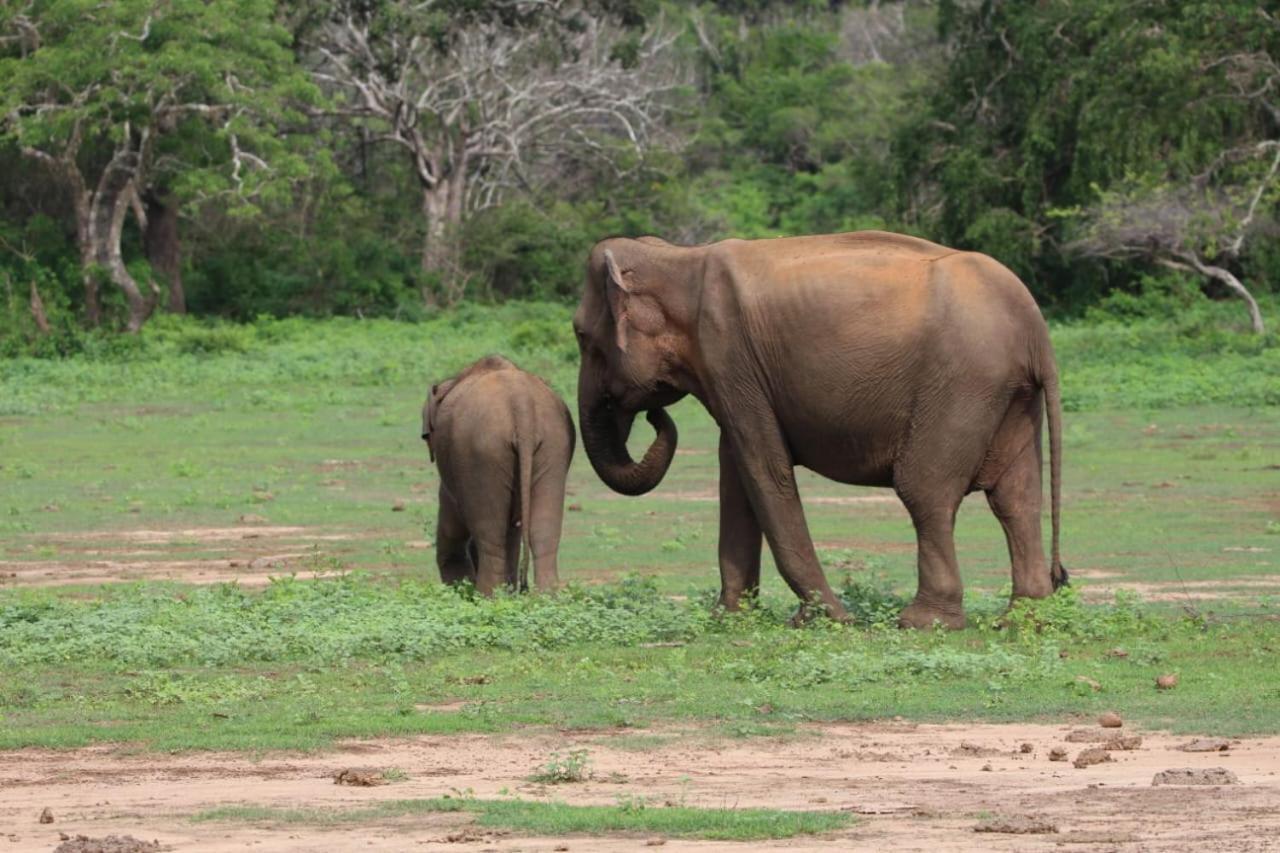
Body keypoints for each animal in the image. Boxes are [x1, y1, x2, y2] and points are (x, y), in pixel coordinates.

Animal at [422, 350, 573, 591]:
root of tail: (521, 403)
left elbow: (451, 523)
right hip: (554, 444)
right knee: (542, 532)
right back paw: (544, 595)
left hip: (480, 452)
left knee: (490, 534)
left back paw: (487, 595)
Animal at [576, 229, 1064, 627]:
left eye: (581, 335)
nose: (654, 416)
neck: (677, 259)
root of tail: (1036, 329)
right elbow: (736, 474)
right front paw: (730, 619)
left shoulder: (730, 357)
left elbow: (764, 470)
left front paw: (826, 619)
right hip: (1010, 396)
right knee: (1016, 498)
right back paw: (1023, 618)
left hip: (963, 383)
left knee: (924, 491)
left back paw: (922, 623)